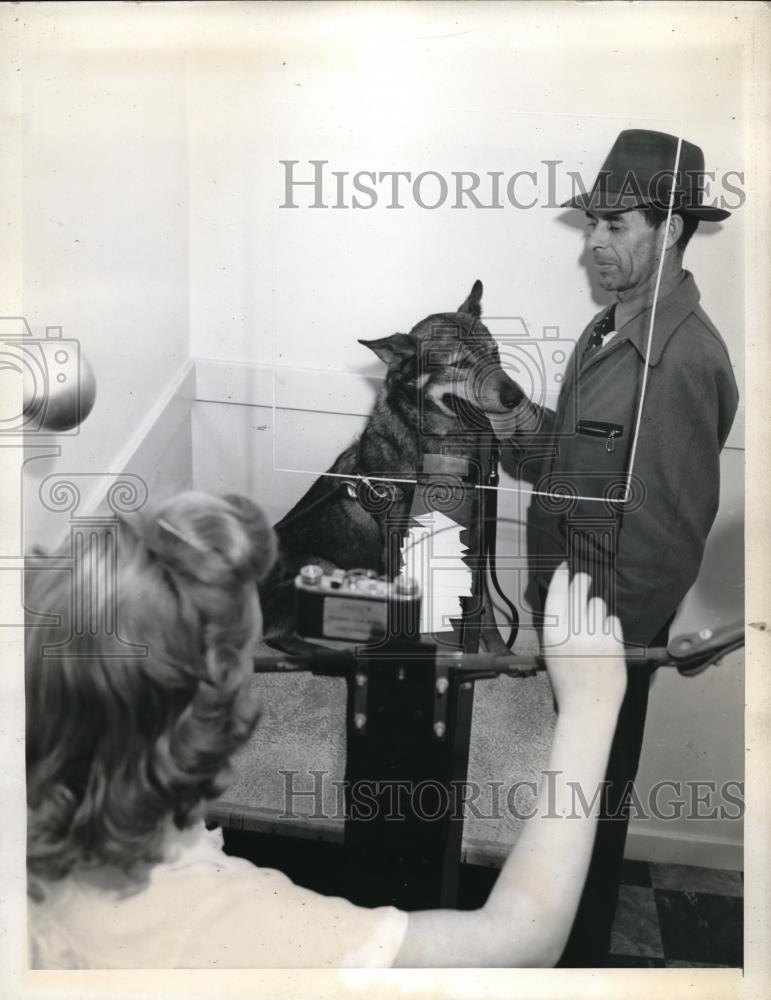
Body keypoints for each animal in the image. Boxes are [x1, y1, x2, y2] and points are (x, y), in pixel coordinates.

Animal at [260, 280, 524, 656]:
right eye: (459, 363)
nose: (517, 397)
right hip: (319, 564)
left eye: (495, 353)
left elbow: (482, 604)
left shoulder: (471, 542)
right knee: (277, 634)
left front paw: (497, 652)